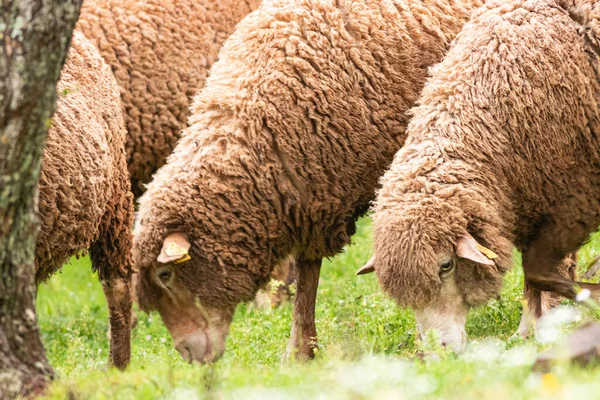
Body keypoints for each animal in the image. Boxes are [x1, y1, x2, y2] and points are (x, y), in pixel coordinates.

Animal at [368, 0, 600, 352]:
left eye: (446, 265)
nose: (437, 354)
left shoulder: (571, 203)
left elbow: (539, 273)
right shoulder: (529, 207)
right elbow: (534, 278)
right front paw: (527, 332)